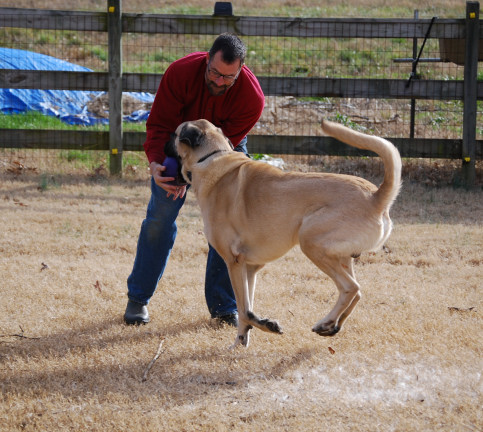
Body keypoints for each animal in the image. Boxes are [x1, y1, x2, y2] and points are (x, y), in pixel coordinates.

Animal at [170, 118, 400, 348]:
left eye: (175, 134)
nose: (162, 144)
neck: (212, 157)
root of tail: (375, 197)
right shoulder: (249, 268)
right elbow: (247, 308)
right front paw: (241, 341)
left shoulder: (233, 262)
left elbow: (245, 310)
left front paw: (264, 326)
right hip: (341, 257)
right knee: (357, 292)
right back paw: (332, 326)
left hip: (310, 242)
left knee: (350, 288)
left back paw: (326, 322)